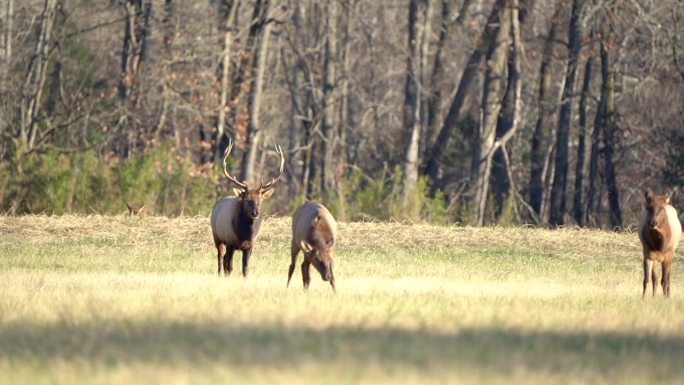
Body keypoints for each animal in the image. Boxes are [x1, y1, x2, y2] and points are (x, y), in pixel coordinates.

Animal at [208, 137, 284, 276]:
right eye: (247, 199)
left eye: (260, 200)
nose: (255, 213)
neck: (243, 235)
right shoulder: (230, 242)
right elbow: (230, 267)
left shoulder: (250, 246)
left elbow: (245, 269)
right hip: (217, 236)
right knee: (221, 258)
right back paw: (220, 274)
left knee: (224, 259)